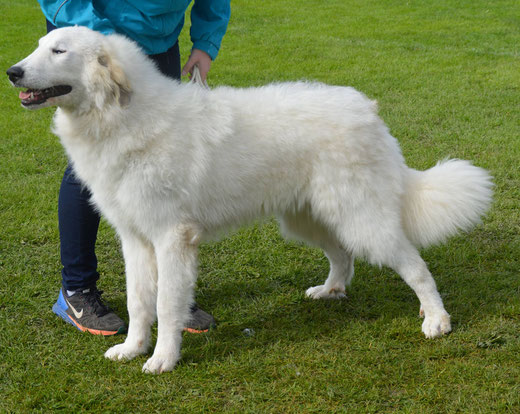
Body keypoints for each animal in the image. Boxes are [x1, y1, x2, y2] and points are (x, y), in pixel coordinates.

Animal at [10, 27, 494, 374]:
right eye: (38, 47)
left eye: (59, 51)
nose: (13, 72)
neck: (121, 116)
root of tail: (368, 109)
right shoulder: (135, 239)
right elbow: (138, 302)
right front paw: (132, 349)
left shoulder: (171, 239)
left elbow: (166, 303)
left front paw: (163, 359)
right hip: (308, 218)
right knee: (343, 256)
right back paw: (331, 290)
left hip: (361, 218)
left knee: (415, 265)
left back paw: (436, 320)